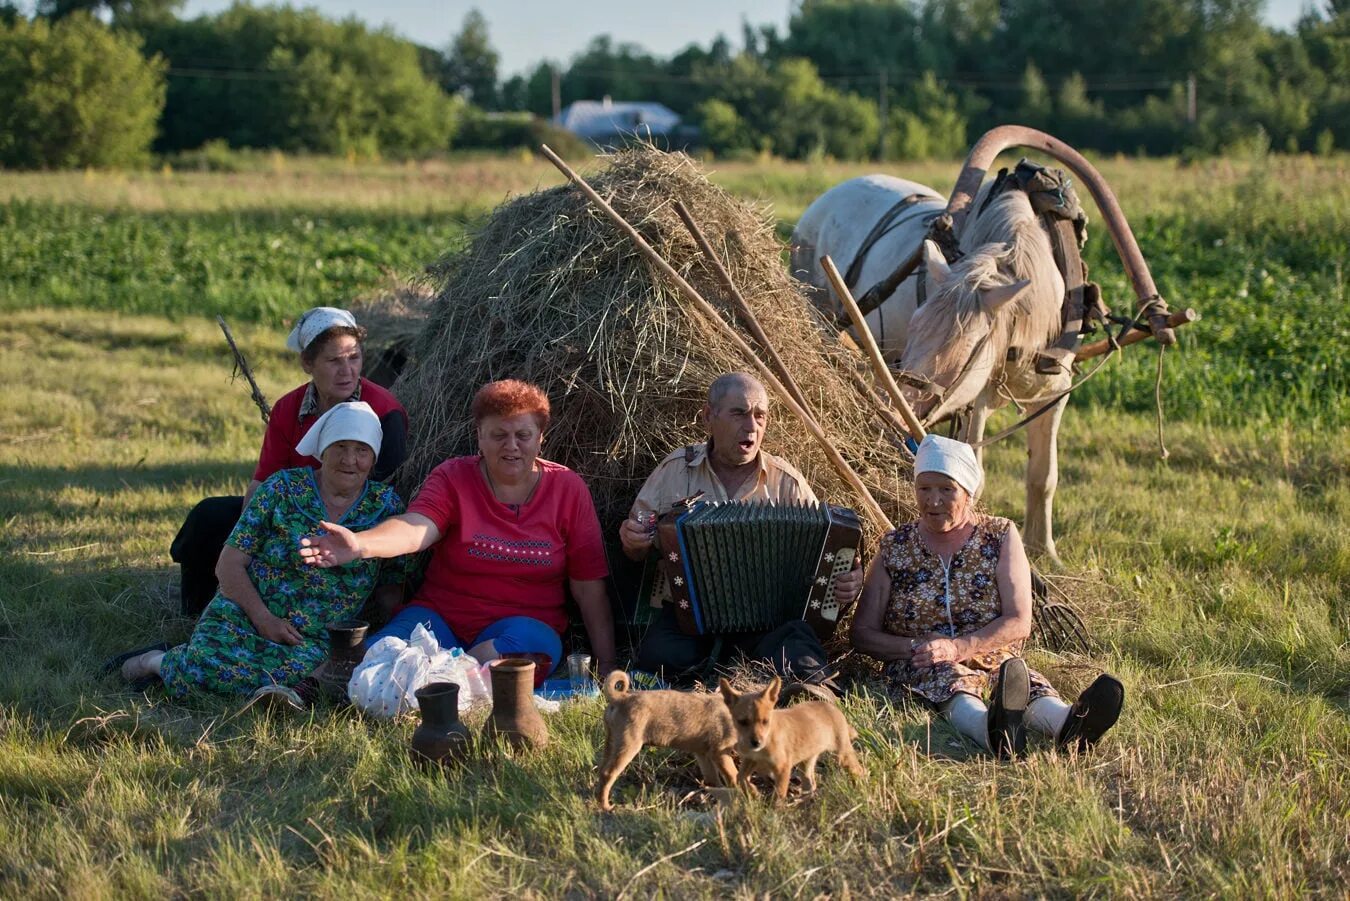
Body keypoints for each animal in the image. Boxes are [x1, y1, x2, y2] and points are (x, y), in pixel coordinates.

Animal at [594, 670, 739, 810]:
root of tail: (620, 698)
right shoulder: (719, 752)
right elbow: (734, 775)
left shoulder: (703, 754)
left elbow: (712, 780)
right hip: (628, 745)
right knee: (608, 773)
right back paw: (605, 806)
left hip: (611, 742)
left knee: (602, 771)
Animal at [718, 675, 864, 805]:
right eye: (742, 722)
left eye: (765, 721)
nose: (756, 742)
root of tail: (833, 708)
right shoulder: (750, 760)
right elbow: (740, 778)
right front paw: (754, 792)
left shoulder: (783, 767)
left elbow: (778, 796)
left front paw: (775, 812)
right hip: (806, 764)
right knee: (810, 785)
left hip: (842, 756)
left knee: (860, 771)